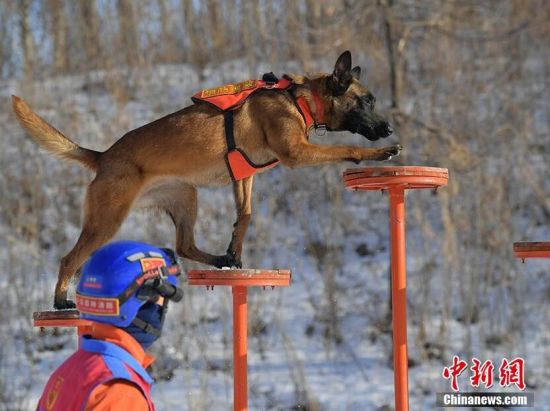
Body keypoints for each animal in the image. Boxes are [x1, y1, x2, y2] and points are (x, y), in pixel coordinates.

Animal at [12, 50, 402, 309]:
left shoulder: (244, 177)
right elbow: (344, 148)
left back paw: (219, 260)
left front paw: (234, 251)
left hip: (186, 195)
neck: (298, 99)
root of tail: (103, 155)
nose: (388, 128)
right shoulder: (297, 153)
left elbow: (245, 216)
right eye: (366, 101)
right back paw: (60, 300)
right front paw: (381, 152)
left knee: (184, 245)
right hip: (107, 220)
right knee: (69, 258)